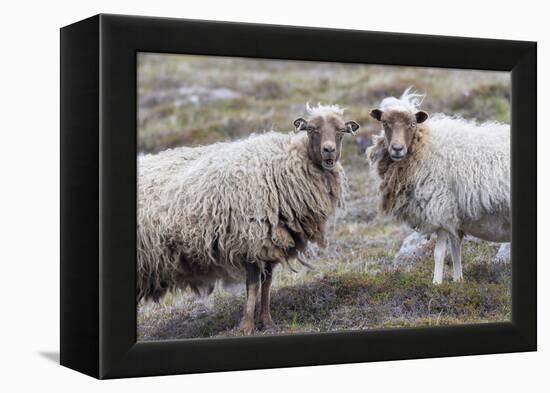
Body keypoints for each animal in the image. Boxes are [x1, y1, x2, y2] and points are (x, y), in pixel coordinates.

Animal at [138, 102, 362, 332]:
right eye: (311, 129)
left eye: (341, 131)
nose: (329, 151)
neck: (285, 163)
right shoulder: (251, 241)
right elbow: (253, 286)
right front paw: (246, 325)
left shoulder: (271, 243)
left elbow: (267, 284)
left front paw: (268, 322)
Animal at [368, 89, 512, 284]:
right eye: (385, 123)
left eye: (412, 124)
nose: (397, 149)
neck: (425, 146)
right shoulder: (453, 215)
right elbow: (455, 249)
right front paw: (458, 280)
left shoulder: (439, 208)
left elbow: (439, 253)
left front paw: (436, 283)